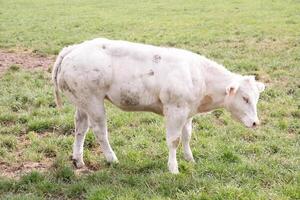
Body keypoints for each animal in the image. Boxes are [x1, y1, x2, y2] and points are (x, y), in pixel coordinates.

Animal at [51, 38, 264, 173]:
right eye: (245, 98)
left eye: (256, 98)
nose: (255, 123)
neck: (200, 77)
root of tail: (74, 48)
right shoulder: (175, 110)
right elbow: (174, 140)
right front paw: (173, 168)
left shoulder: (188, 113)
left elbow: (187, 136)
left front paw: (190, 159)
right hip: (94, 101)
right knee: (99, 131)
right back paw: (112, 158)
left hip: (82, 101)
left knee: (80, 128)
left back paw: (78, 160)